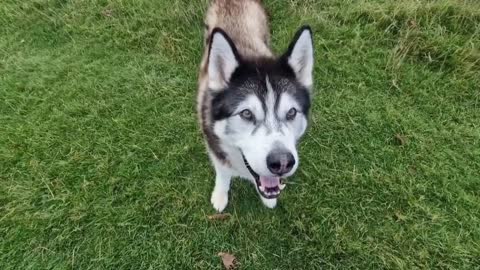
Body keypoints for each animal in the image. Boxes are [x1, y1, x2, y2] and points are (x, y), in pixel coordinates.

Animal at [197, 0, 314, 212]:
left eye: (291, 112)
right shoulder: (216, 152)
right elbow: (223, 174)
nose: (282, 163)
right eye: (246, 114)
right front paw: (220, 195)